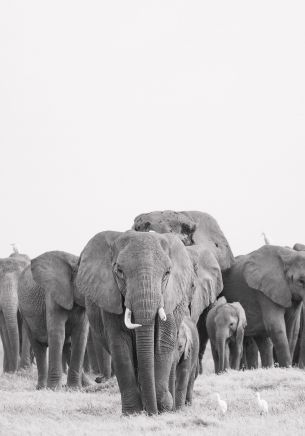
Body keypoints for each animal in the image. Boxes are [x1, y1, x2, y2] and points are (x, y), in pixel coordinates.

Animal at [17, 250, 88, 390]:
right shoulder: (52, 293)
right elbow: (57, 333)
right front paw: (54, 389)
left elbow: (80, 336)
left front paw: (74, 389)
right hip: (25, 313)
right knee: (38, 346)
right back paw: (42, 387)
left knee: (68, 345)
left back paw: (88, 385)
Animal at [75, 230, 192, 414]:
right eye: (120, 271)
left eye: (167, 273)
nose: (152, 412)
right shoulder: (110, 299)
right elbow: (120, 346)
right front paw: (133, 413)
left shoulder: (169, 297)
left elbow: (163, 344)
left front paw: (163, 407)